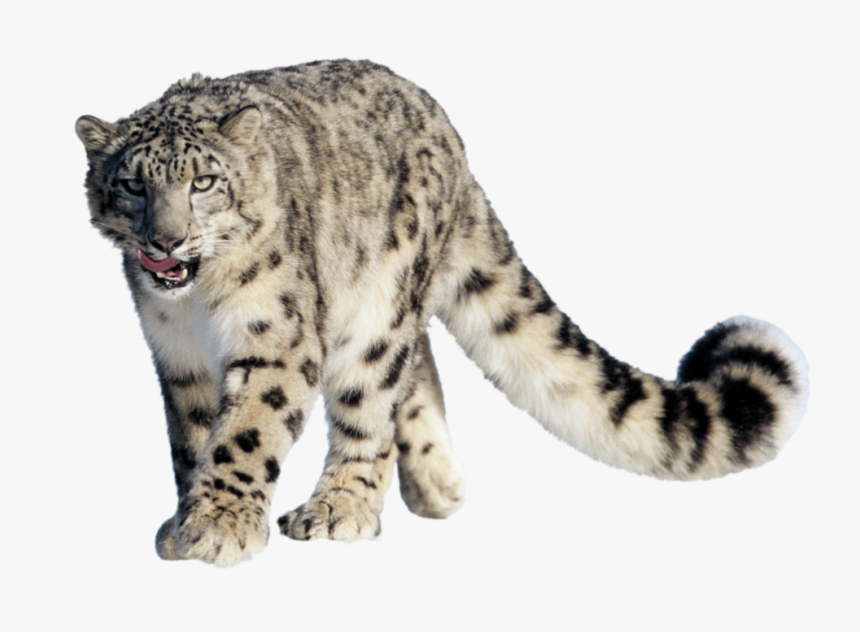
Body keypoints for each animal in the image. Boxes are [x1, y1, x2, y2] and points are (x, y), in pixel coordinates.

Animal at [76, 59, 809, 567]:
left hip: (381, 301)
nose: (165, 241)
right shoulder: (177, 358)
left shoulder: (276, 340)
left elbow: (246, 433)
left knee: (374, 393)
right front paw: (187, 521)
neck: (199, 308)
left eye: (204, 183)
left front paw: (220, 526)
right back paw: (436, 483)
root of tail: (449, 136)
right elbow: (193, 437)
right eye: (132, 184)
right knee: (415, 363)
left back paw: (341, 508)